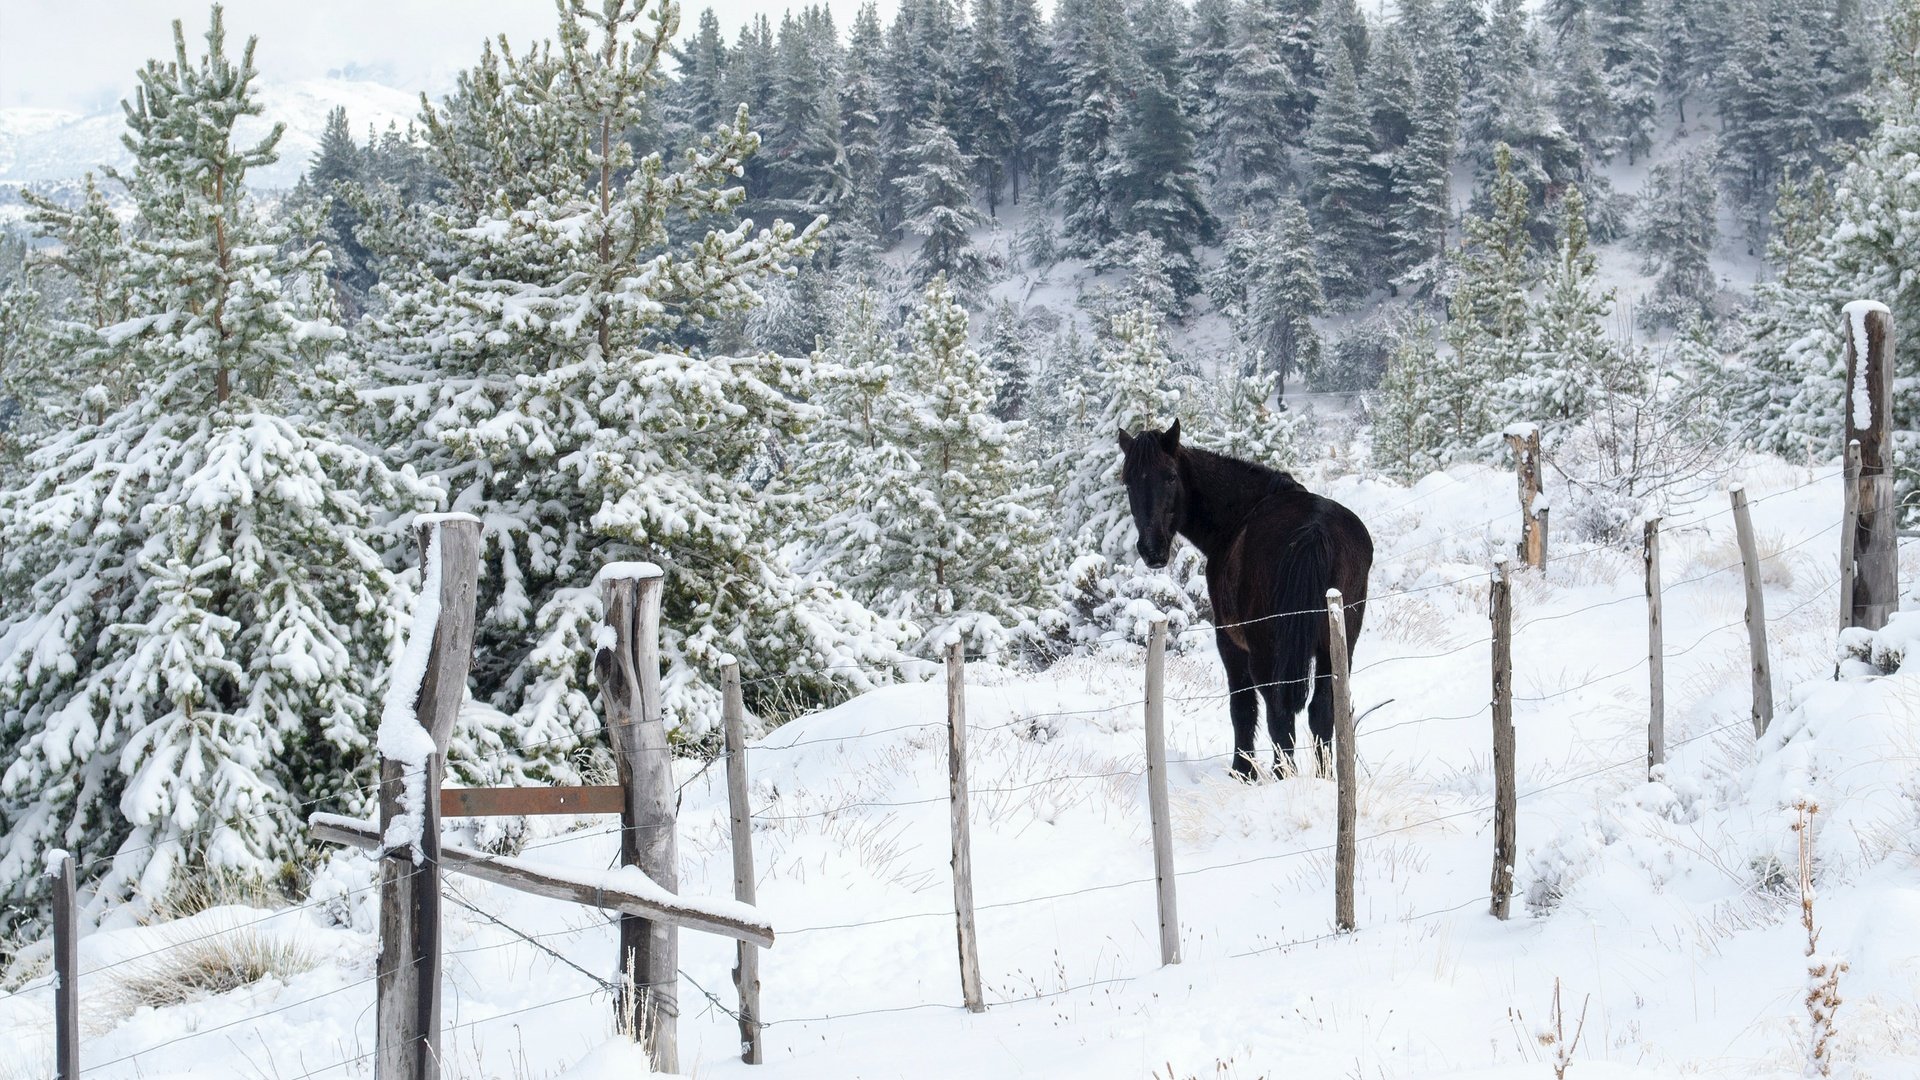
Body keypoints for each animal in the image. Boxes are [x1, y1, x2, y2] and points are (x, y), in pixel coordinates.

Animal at [1121, 417, 1374, 776]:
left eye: (1169, 476)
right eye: (1128, 483)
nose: (1152, 549)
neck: (1237, 514)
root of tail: (1314, 529)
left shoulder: (1229, 642)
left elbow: (1242, 707)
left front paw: (1242, 771)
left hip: (1267, 650)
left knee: (1279, 712)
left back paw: (1283, 775)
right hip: (1337, 645)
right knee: (1323, 709)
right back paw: (1324, 777)